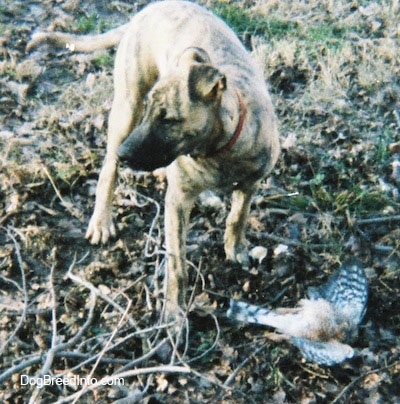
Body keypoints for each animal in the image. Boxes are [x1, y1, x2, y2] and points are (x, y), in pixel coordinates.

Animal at [28, 0, 280, 322]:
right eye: (151, 111)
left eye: (169, 120)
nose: (124, 153)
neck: (217, 149)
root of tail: (151, 8)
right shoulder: (177, 202)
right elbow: (177, 264)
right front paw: (174, 315)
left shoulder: (251, 183)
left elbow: (238, 216)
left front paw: (235, 248)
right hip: (126, 106)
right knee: (107, 170)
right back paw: (102, 220)